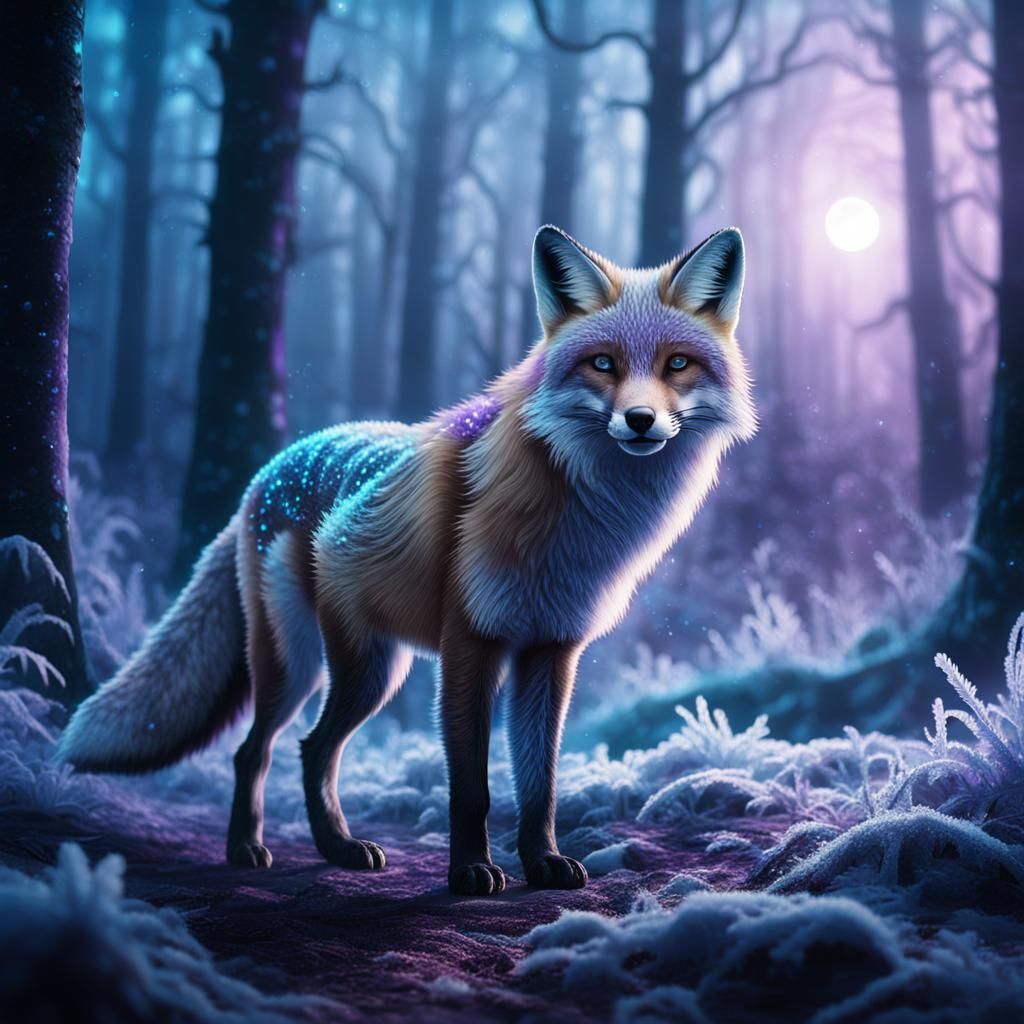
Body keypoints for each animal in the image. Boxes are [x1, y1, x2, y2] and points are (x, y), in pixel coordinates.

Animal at [60, 224, 756, 895]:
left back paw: (337, 850)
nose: (640, 420)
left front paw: (544, 864)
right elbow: (472, 788)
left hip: (372, 670)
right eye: (603, 363)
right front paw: (471, 874)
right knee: (262, 750)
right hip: (315, 667)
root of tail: (267, 471)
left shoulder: (551, 652)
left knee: (312, 750)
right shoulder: (470, 643)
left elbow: (539, 785)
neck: (576, 520)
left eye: (677, 363)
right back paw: (250, 849)